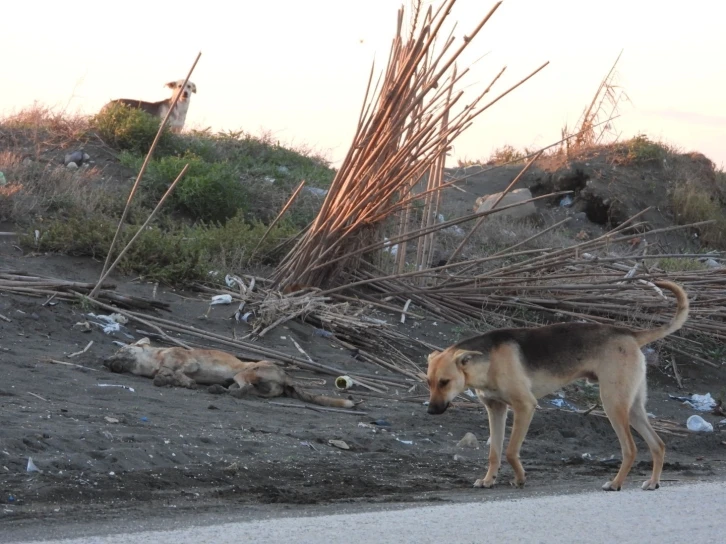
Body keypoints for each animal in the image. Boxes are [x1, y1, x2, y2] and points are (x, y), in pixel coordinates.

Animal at [106, 338, 358, 410]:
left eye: (119, 349)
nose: (104, 361)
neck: (153, 359)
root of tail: (287, 376)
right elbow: (166, 376)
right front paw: (167, 380)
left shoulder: (190, 363)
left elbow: (175, 372)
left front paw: (179, 380)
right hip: (255, 386)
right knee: (247, 391)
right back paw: (218, 389)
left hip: (245, 372)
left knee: (243, 389)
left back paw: (222, 391)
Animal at [430, 280, 692, 492]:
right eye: (429, 382)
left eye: (445, 382)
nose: (430, 411)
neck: (488, 360)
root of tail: (629, 334)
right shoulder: (495, 410)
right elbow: (494, 452)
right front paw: (488, 480)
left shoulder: (525, 407)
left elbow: (511, 451)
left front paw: (520, 478)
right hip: (633, 407)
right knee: (658, 444)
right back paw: (653, 482)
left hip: (613, 404)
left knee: (630, 449)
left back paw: (616, 483)